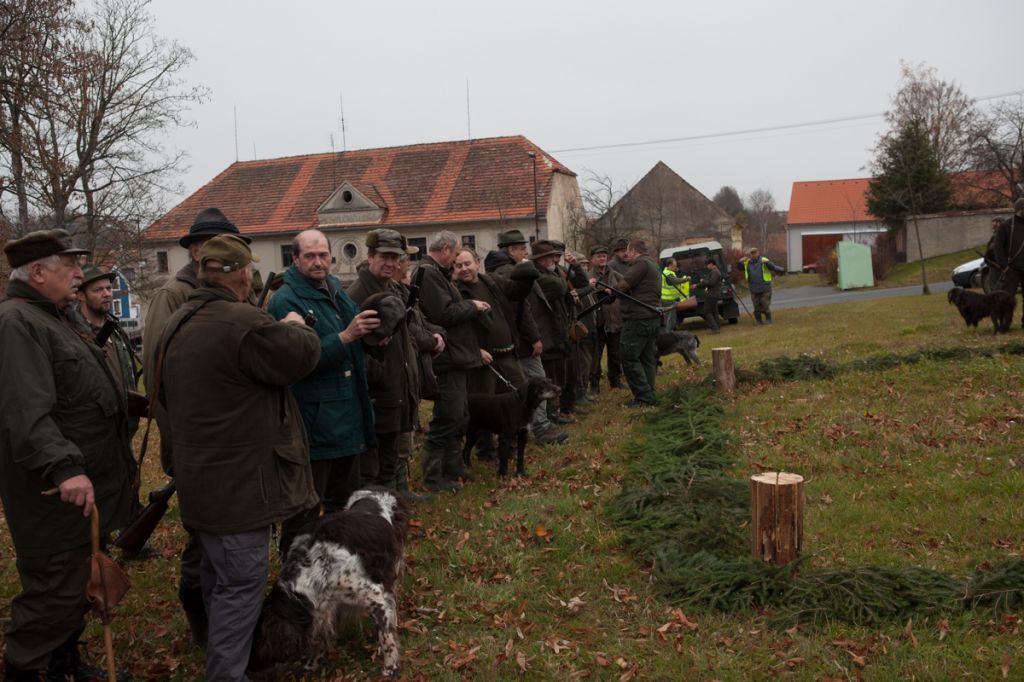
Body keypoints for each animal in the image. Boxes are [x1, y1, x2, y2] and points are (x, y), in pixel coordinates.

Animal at [248, 487, 410, 678]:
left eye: (258, 639)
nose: (248, 667)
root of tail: (380, 488)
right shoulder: (325, 608)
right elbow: (319, 638)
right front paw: (311, 664)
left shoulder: (374, 595)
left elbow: (386, 638)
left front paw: (391, 668)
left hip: (392, 565)